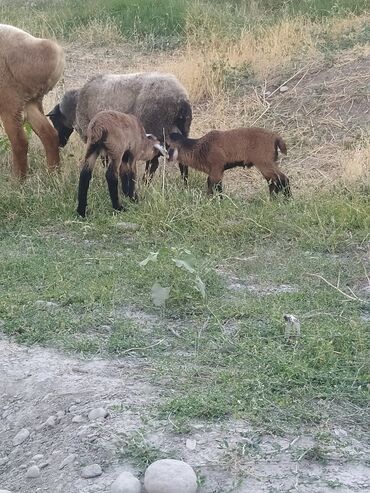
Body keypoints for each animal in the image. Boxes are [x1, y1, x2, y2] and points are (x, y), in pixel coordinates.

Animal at [0, 24, 64, 179]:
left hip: (10, 103)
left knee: (20, 142)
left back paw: (17, 181)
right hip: (31, 102)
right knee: (49, 134)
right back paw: (53, 175)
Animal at [47, 71, 192, 181]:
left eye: (54, 120)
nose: (59, 144)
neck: (76, 105)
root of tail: (181, 100)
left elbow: (104, 159)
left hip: (158, 130)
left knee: (153, 163)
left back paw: (145, 182)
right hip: (181, 131)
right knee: (182, 160)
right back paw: (184, 183)